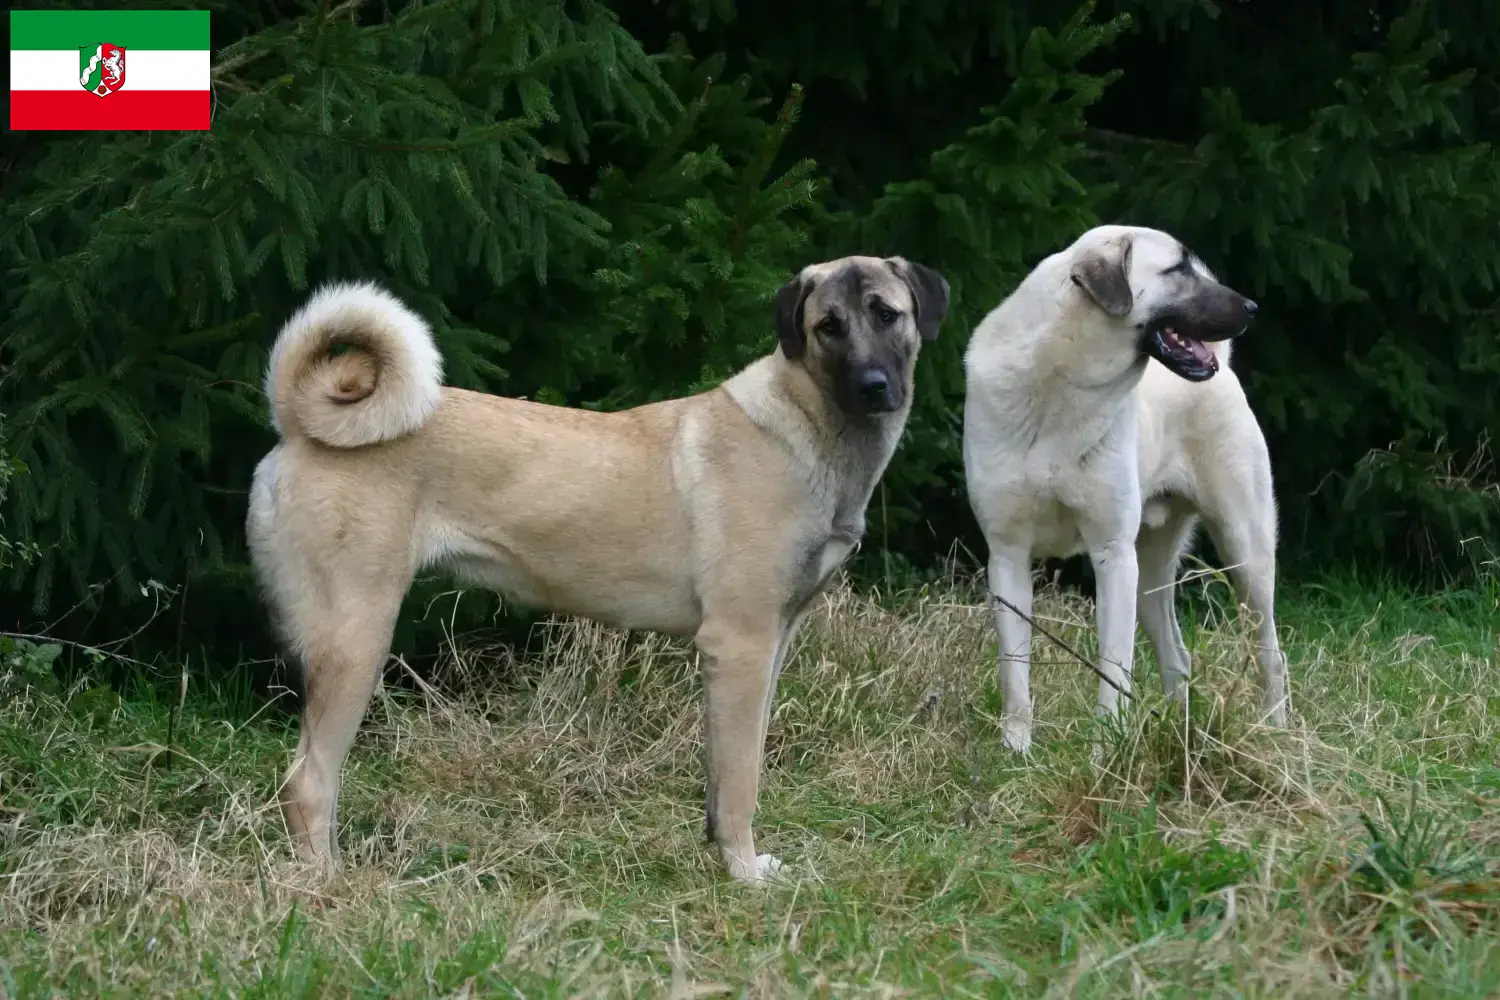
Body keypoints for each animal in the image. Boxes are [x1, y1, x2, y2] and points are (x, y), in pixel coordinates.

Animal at [960, 220, 1290, 749]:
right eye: (1177, 269)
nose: (1253, 308)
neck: (1064, 382)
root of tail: (1226, 370)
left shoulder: (1112, 556)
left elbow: (1113, 668)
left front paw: (1105, 750)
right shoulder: (1007, 556)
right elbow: (1014, 671)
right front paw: (1016, 750)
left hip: (1246, 556)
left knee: (1269, 653)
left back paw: (1274, 734)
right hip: (1150, 576)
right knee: (1177, 657)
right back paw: (1181, 732)